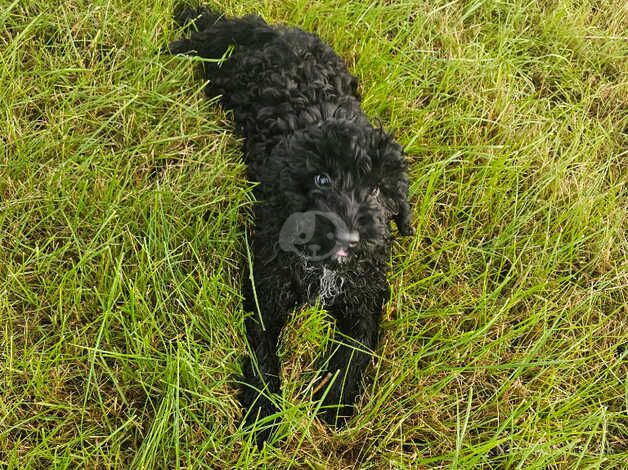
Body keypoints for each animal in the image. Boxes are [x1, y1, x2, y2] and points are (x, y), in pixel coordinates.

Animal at [168, 7, 412, 446]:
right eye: (322, 180)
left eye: (378, 189)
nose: (349, 237)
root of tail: (275, 31)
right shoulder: (266, 288)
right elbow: (263, 349)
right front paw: (264, 414)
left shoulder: (365, 295)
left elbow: (357, 347)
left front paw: (335, 403)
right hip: (227, 76)